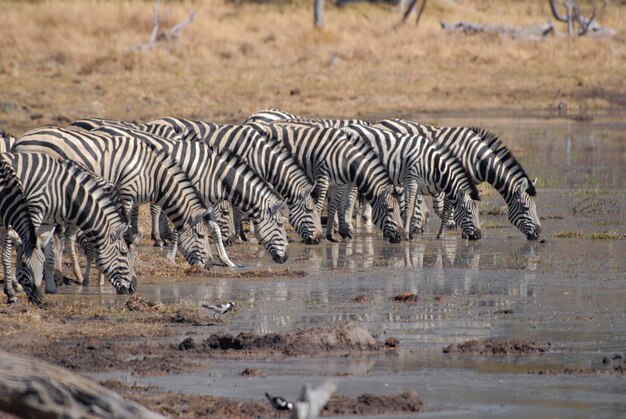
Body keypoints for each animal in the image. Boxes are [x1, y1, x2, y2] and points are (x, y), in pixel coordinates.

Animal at [0, 153, 136, 304]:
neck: (63, 192)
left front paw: (51, 287)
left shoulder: (48, 222)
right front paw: (17, 281)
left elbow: (48, 255)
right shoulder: (33, 213)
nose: (133, 288)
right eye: (123, 253)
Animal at [14, 125, 210, 286]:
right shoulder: (126, 193)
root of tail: (21, 139)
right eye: (201, 236)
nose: (209, 266)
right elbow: (126, 229)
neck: (152, 175)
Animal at [246, 121, 402, 244]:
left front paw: (334, 234)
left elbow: (335, 204)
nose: (401, 236)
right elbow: (320, 206)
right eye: (390, 210)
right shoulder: (322, 177)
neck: (346, 159)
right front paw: (319, 233)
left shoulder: (337, 183)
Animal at [372, 120, 540, 241]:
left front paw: (466, 231)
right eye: (526, 208)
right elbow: (448, 208)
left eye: (535, 208)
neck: (475, 157)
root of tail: (379, 122)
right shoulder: (452, 179)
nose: (538, 234)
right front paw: (443, 234)